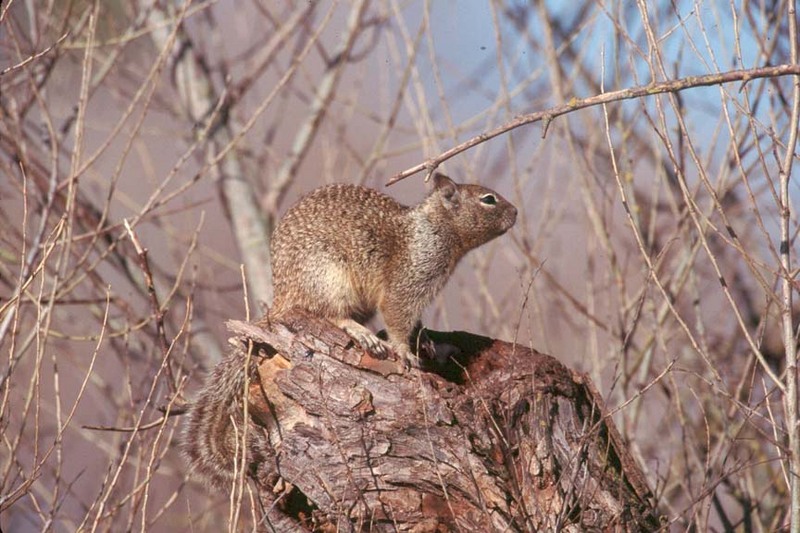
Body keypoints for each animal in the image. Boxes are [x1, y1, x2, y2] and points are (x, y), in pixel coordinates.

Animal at [182, 172, 520, 488]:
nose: (516, 211)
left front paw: (426, 342)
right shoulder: (406, 283)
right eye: (488, 199)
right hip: (329, 277)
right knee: (330, 314)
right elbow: (396, 318)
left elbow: (414, 323)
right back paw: (362, 334)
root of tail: (282, 296)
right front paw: (404, 353)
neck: (432, 229)